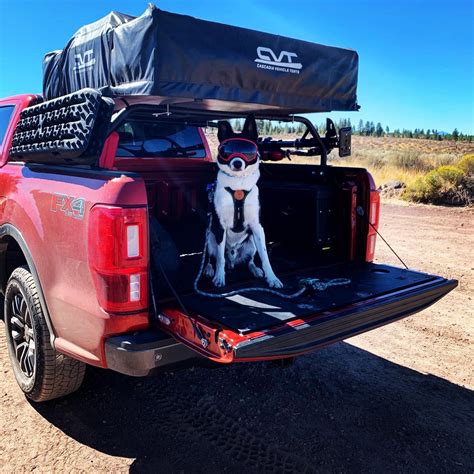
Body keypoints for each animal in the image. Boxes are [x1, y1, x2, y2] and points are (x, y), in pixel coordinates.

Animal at [204, 115, 282, 288]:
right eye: (227, 151)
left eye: (248, 150)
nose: (237, 163)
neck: (238, 185)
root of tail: (233, 259)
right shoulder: (220, 227)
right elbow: (220, 259)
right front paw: (219, 277)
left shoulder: (257, 227)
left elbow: (265, 258)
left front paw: (272, 278)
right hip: (210, 238)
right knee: (212, 257)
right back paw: (209, 269)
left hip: (251, 242)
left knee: (250, 260)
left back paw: (256, 270)